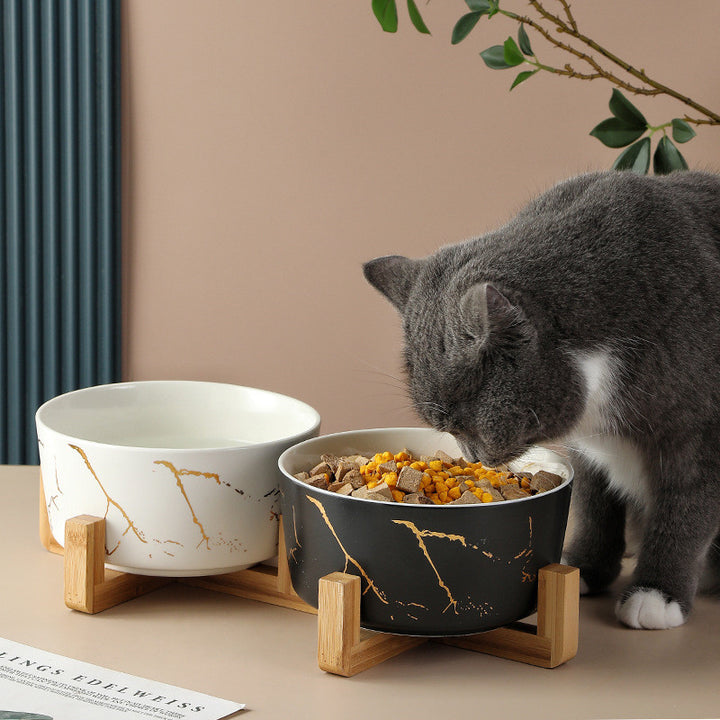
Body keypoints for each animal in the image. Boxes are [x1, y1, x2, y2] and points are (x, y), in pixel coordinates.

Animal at [362, 170, 720, 632]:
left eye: (466, 424)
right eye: (448, 429)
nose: (470, 455)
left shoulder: (701, 436)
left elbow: (686, 512)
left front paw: (657, 595)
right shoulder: (590, 451)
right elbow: (593, 505)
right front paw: (584, 566)